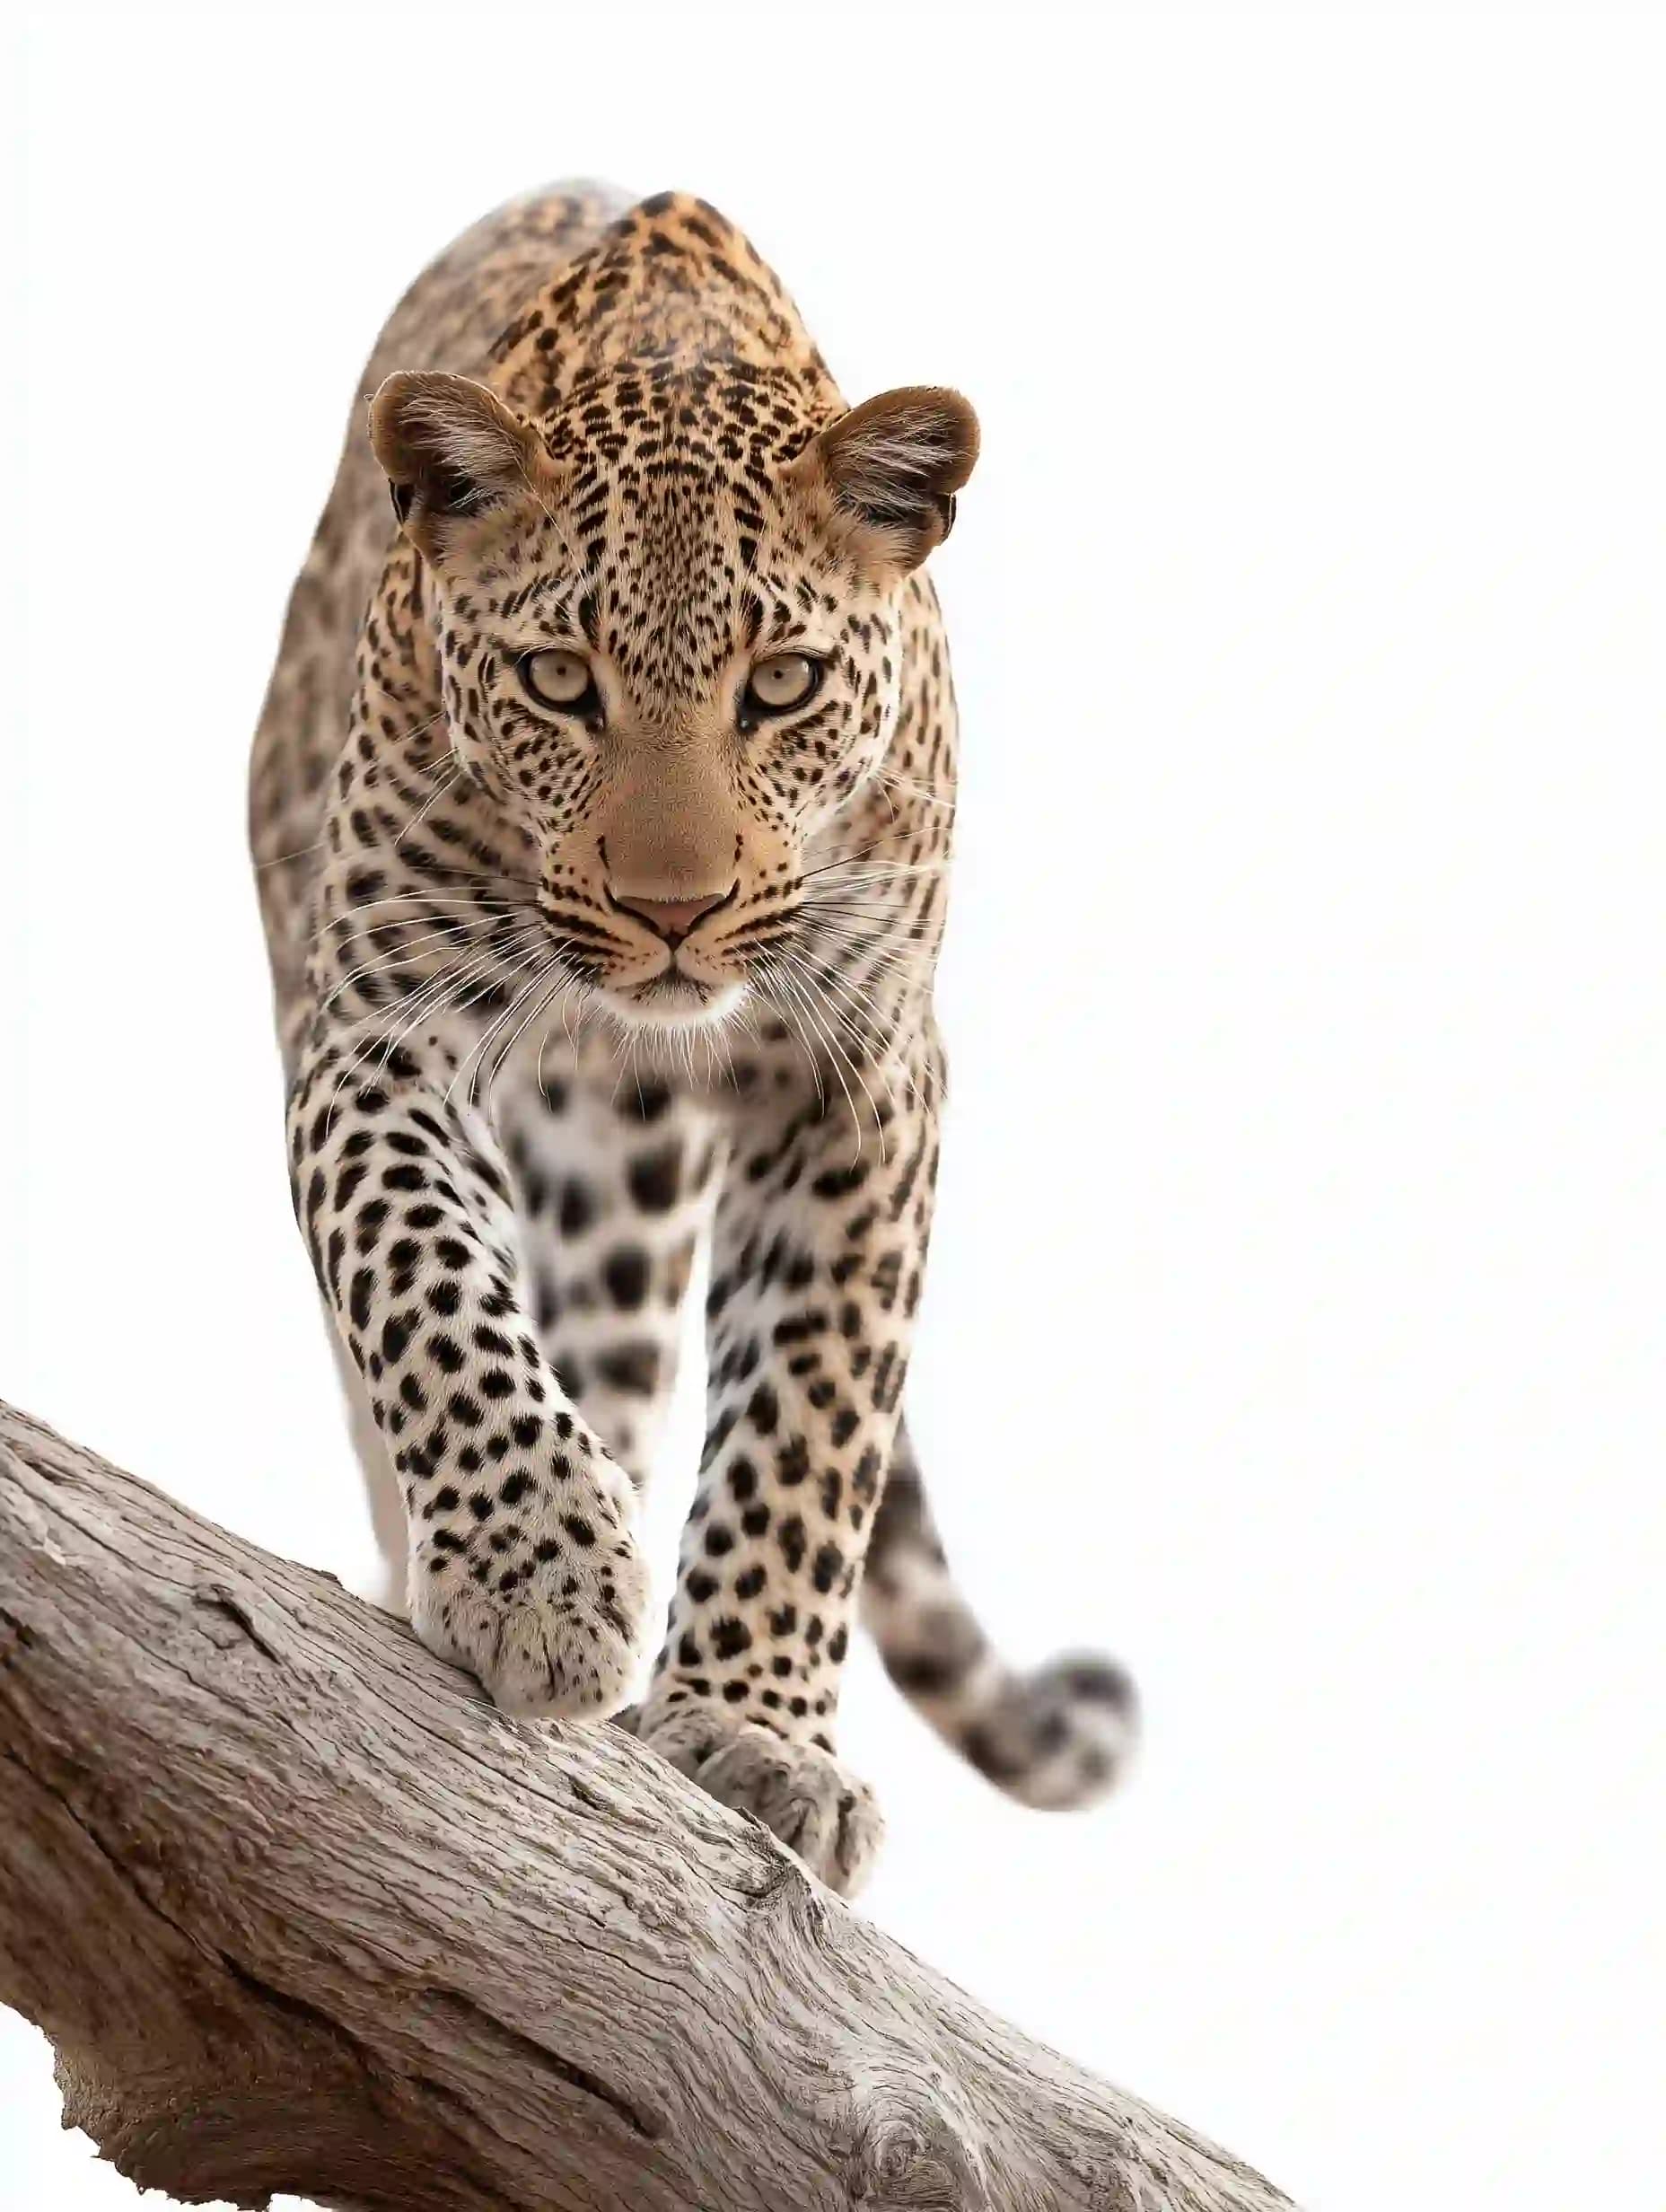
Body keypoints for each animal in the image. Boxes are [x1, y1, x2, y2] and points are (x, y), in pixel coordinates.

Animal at [250, 181, 1137, 1894]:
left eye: (781, 685)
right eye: (557, 680)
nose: (674, 910)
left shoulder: (867, 1075)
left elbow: (813, 1411)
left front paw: (755, 1733)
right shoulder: (380, 1030)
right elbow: (428, 1284)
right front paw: (540, 1569)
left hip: (626, 1188)